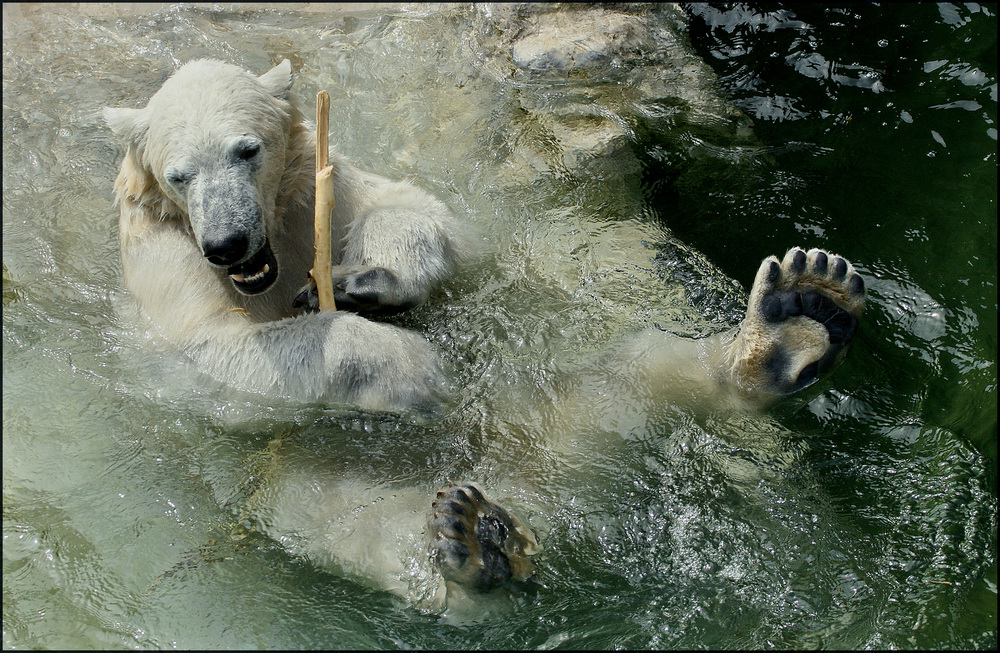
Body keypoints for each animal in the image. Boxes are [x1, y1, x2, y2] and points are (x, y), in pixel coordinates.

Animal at [105, 61, 864, 600]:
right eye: (180, 173)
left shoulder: (325, 185)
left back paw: (797, 317)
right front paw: (413, 369)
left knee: (641, 370)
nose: (227, 242)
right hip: (300, 482)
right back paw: (473, 546)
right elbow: (205, 359)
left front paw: (366, 280)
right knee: (356, 523)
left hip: (572, 391)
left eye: (248, 149)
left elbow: (422, 213)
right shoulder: (162, 267)